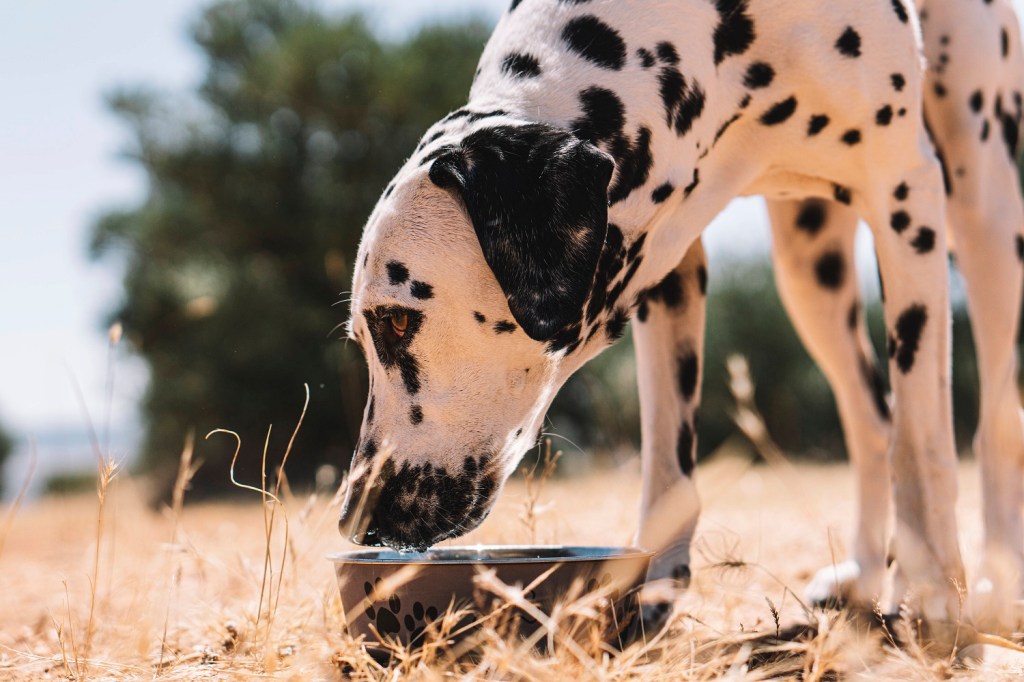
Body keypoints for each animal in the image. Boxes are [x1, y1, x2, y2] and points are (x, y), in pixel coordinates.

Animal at [342, 0, 1024, 630]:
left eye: (396, 321)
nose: (354, 517)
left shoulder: (904, 195)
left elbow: (924, 439)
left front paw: (930, 588)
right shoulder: (669, 258)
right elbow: (669, 465)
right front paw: (655, 586)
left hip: (984, 209)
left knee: (991, 423)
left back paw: (994, 579)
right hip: (810, 265)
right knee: (870, 418)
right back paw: (862, 571)